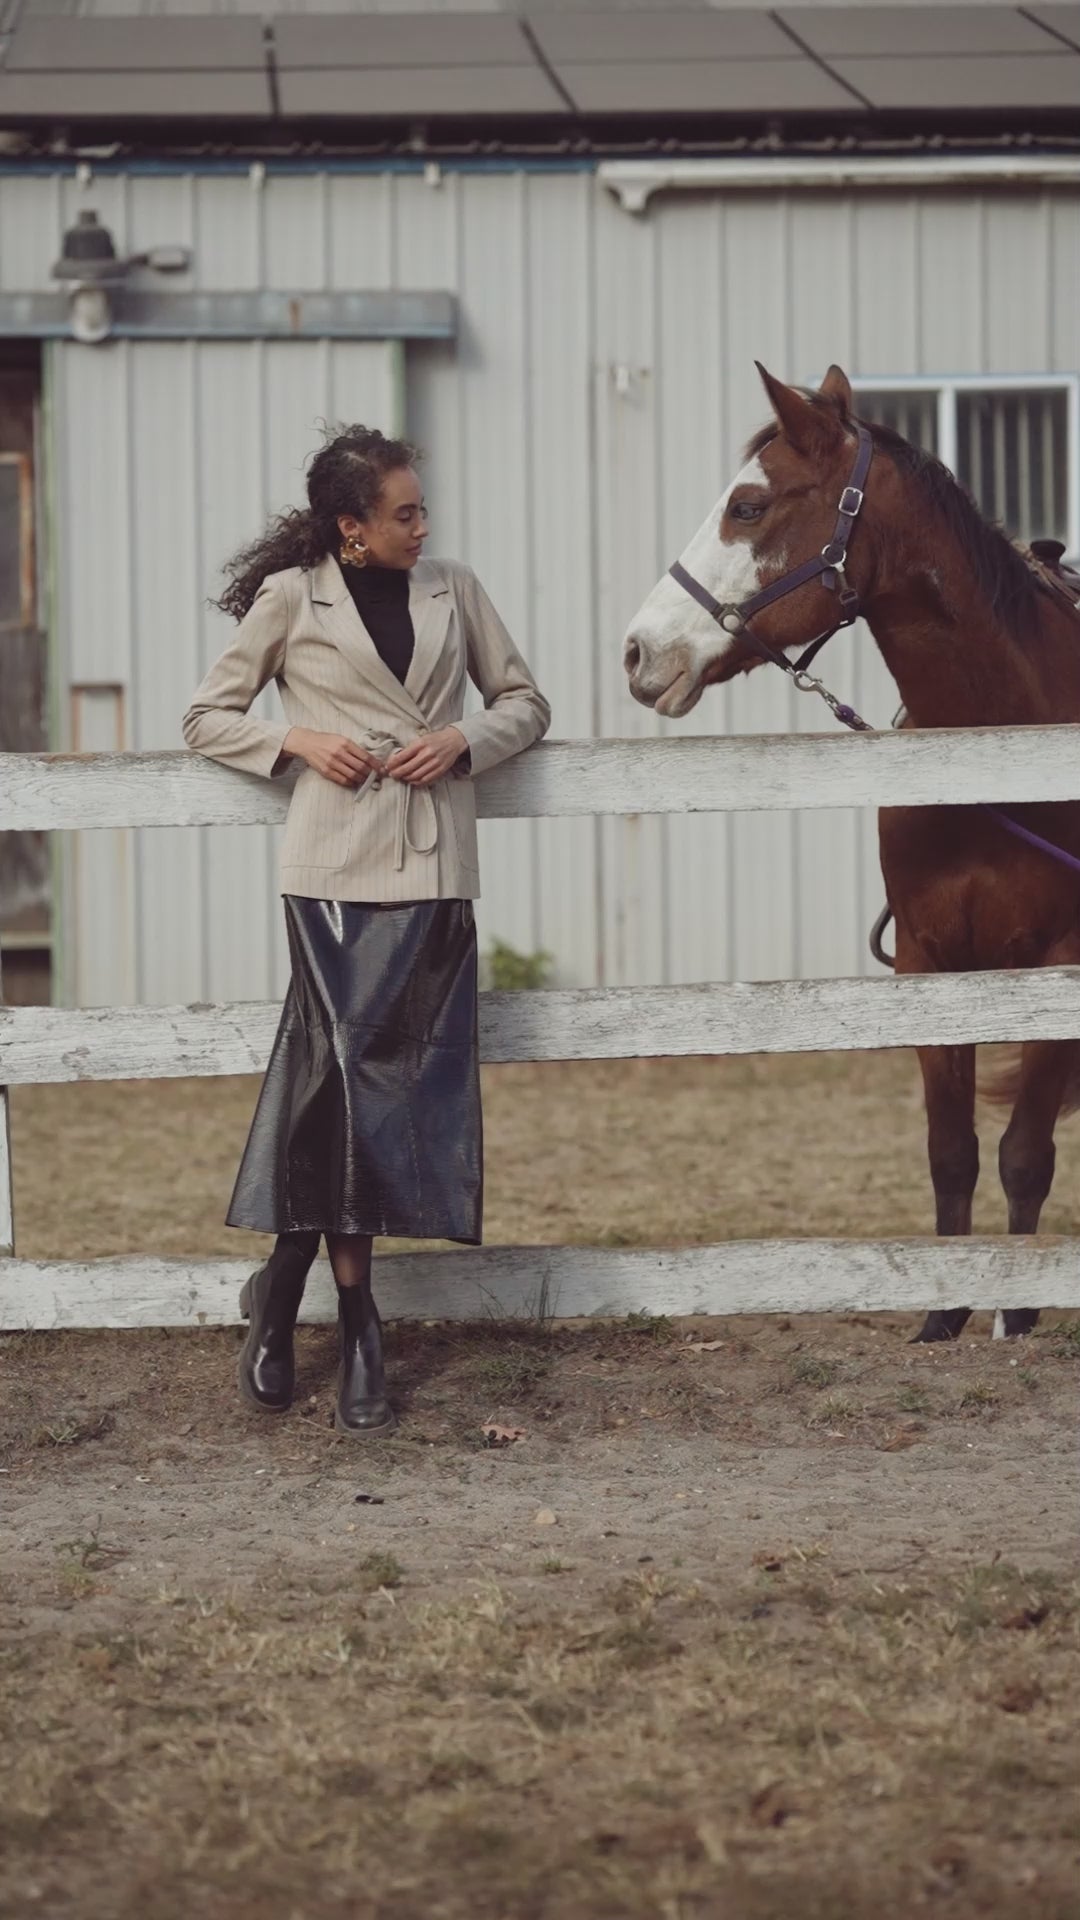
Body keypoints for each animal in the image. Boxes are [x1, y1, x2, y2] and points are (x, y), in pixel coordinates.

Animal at [618, 366, 1076, 1344]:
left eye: (748, 505)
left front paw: (1018, 1310)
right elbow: (951, 1152)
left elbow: (1025, 1153)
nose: (638, 652)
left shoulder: (1061, 963)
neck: (998, 752)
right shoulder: (930, 965)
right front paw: (943, 1311)